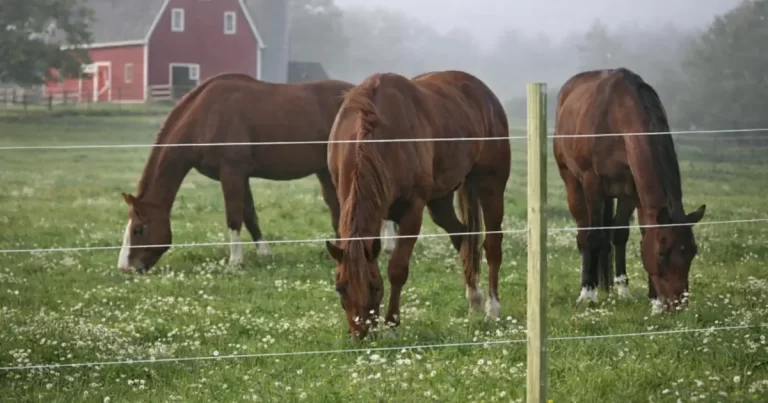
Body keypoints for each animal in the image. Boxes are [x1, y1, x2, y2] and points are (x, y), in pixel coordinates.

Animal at [118, 72, 398, 274]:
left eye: (139, 229)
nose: (125, 268)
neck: (204, 115)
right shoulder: (240, 175)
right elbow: (249, 213)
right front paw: (264, 252)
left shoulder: (232, 171)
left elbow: (234, 217)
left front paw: (235, 261)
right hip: (328, 170)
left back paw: (388, 245)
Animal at [324, 70, 511, 339]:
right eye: (340, 288)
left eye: (375, 287)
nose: (361, 334)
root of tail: (485, 94)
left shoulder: (412, 211)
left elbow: (397, 269)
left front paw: (392, 325)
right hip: (441, 201)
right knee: (464, 238)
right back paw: (474, 299)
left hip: (491, 185)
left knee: (493, 244)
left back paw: (492, 308)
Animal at [553, 67, 706, 313]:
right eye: (662, 253)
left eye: (693, 251)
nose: (677, 305)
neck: (617, 118)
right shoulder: (592, 183)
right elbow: (594, 236)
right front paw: (588, 295)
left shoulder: (633, 191)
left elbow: (626, 233)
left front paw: (649, 299)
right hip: (571, 180)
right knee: (583, 230)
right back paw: (587, 287)